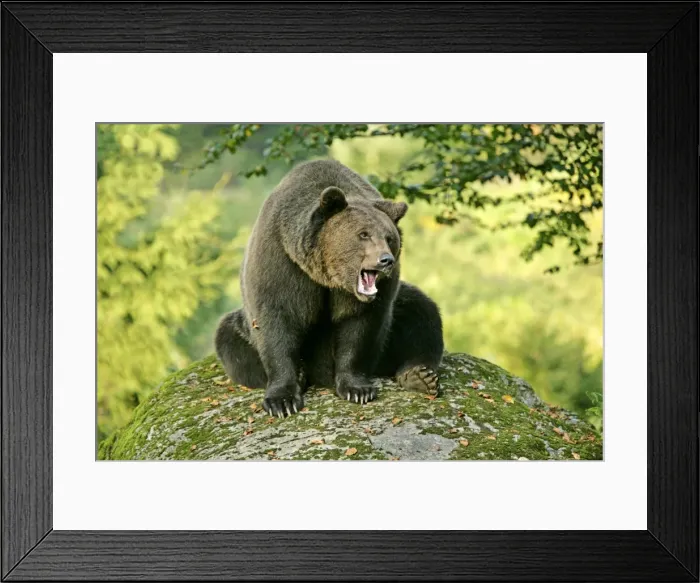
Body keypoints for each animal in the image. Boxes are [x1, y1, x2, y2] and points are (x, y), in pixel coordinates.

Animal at [215, 159, 444, 417]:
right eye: (363, 234)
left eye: (389, 237)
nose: (386, 260)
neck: (326, 276)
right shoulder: (282, 263)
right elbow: (275, 321)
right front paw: (282, 400)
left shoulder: (371, 295)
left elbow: (359, 328)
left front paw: (357, 389)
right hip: (240, 328)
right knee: (231, 342)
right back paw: (301, 374)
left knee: (421, 313)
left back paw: (419, 376)